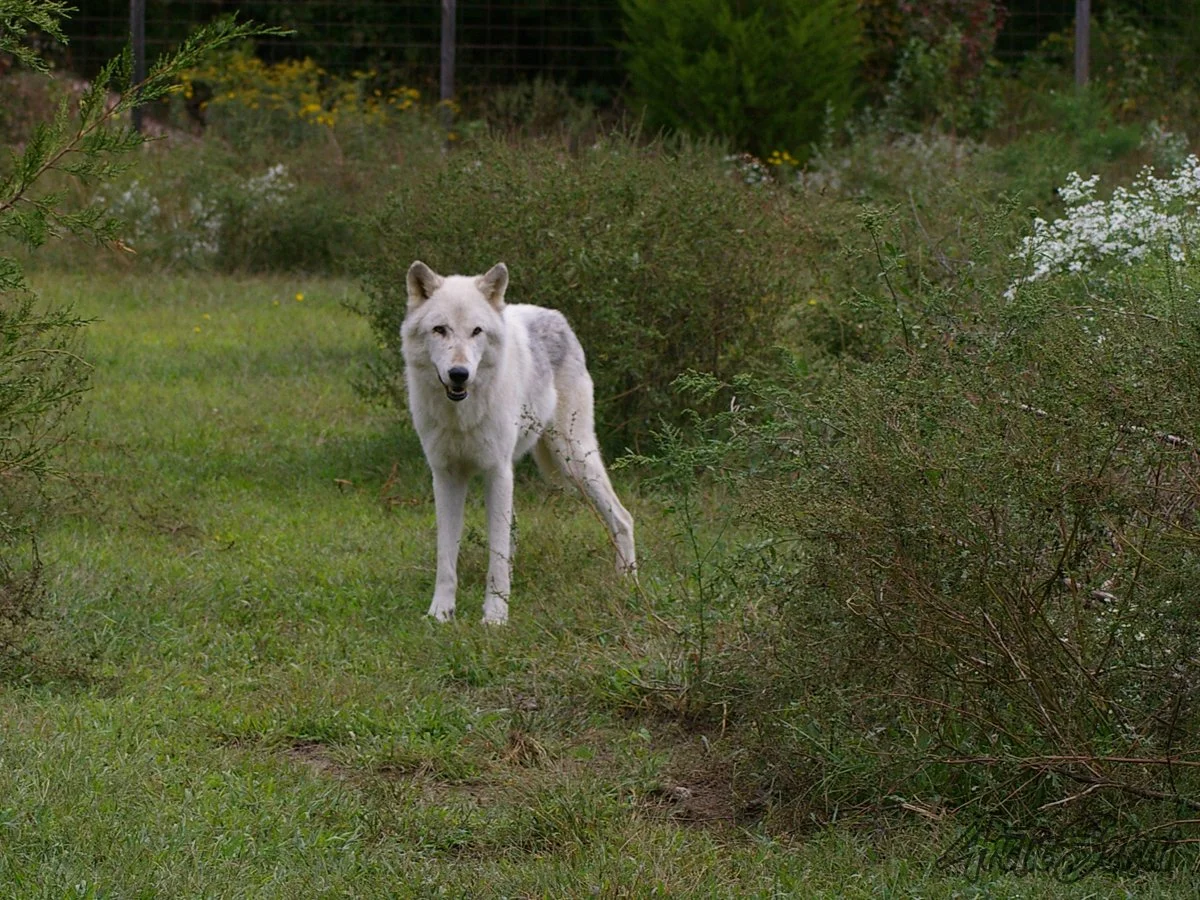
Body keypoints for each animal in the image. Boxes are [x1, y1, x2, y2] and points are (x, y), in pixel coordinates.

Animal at [401, 260, 636, 625]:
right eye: (440, 329)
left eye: (477, 331)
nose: (459, 374)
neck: (462, 414)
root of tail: (554, 315)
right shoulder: (446, 476)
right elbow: (446, 556)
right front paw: (441, 613)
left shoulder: (496, 472)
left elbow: (495, 557)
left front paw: (495, 617)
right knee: (512, 534)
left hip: (574, 459)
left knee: (624, 519)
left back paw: (627, 583)